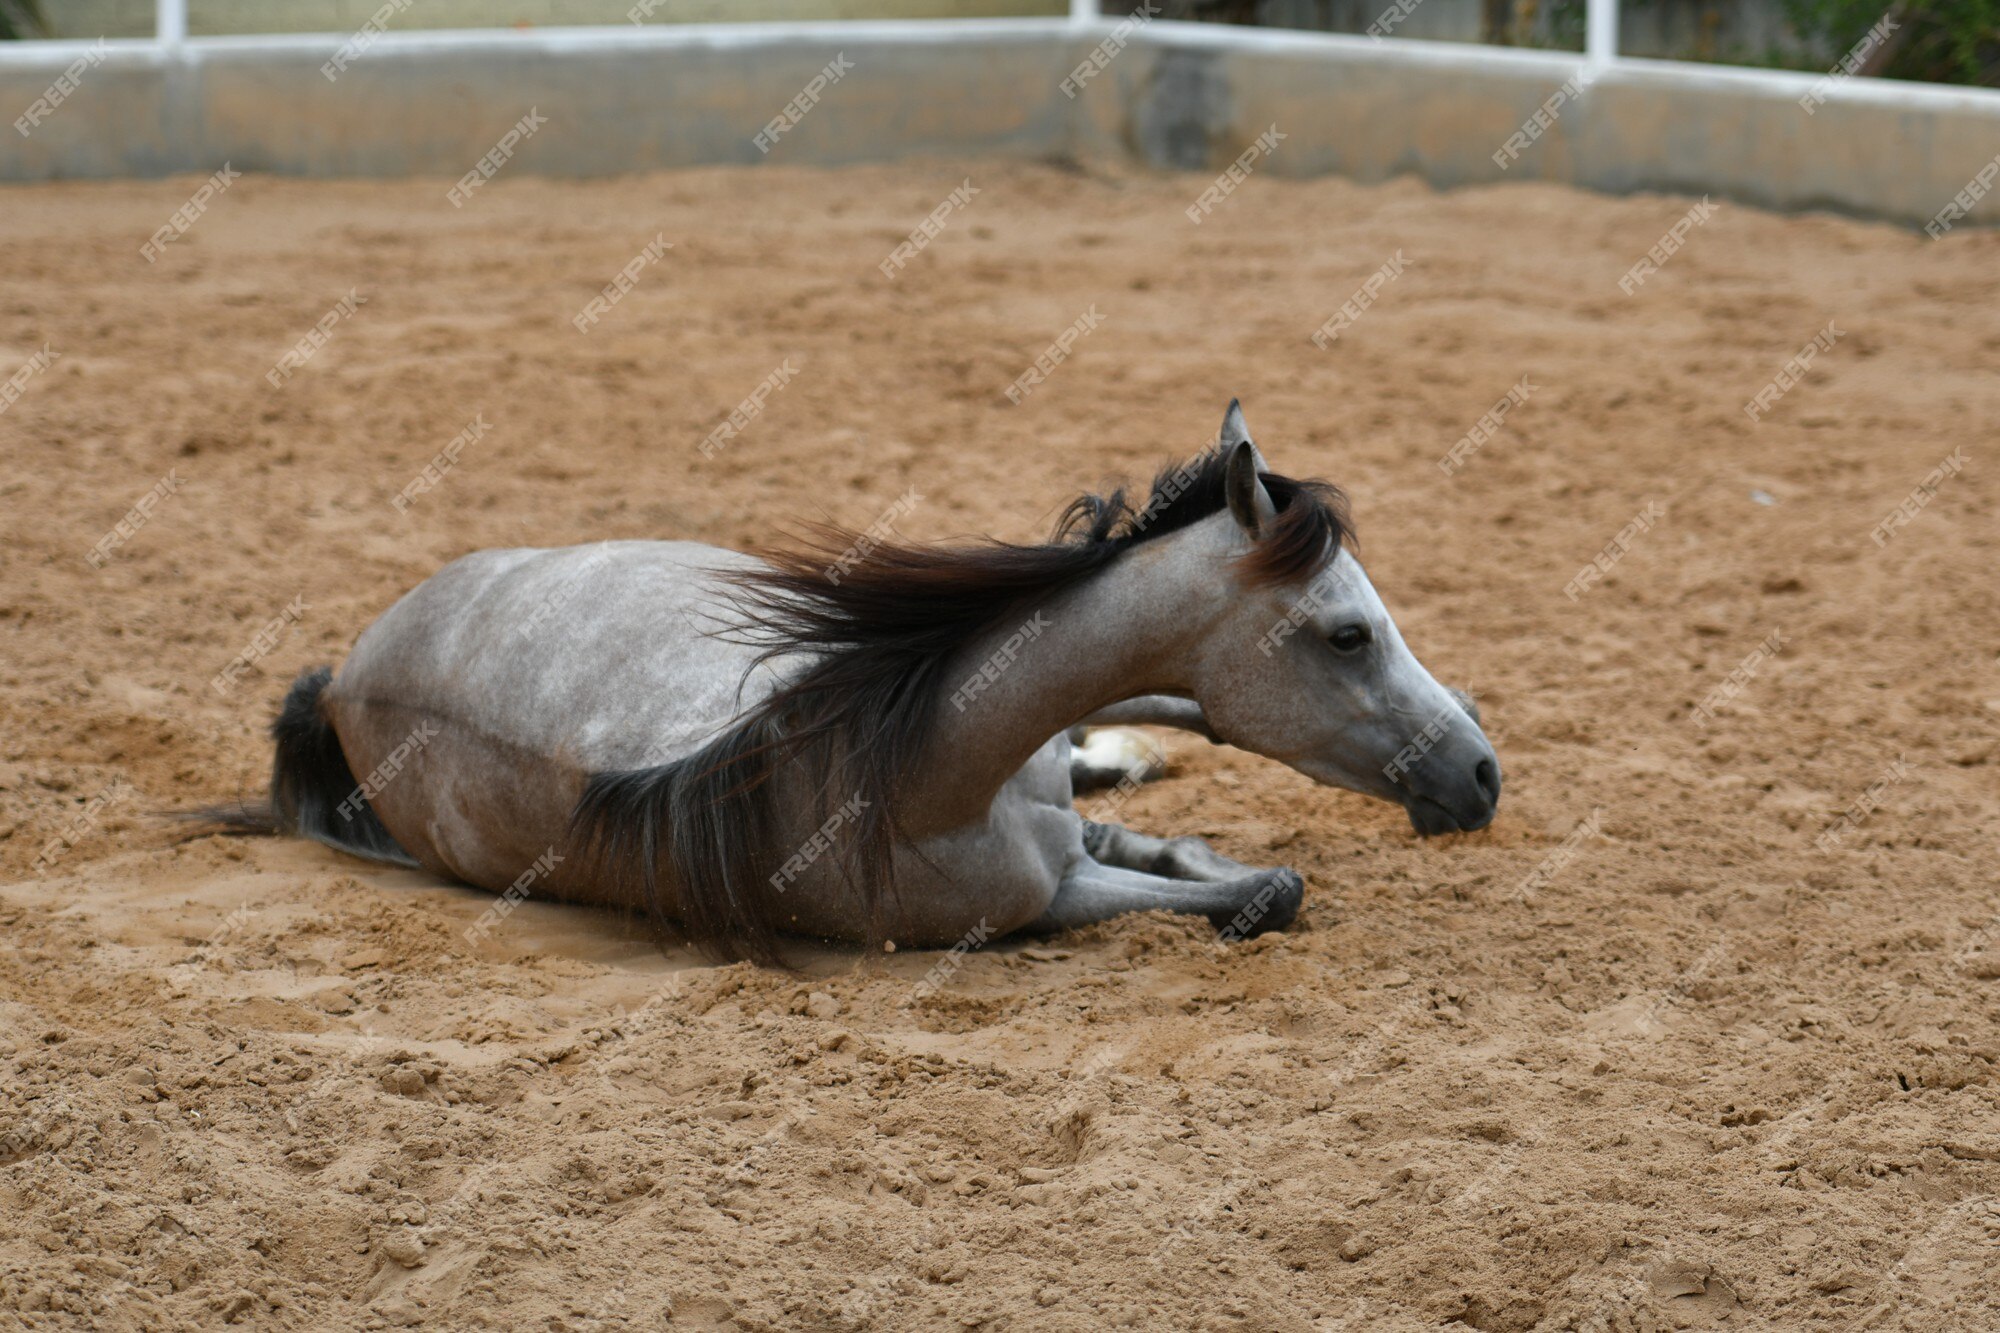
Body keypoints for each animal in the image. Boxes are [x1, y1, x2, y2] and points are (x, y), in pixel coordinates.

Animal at [219, 400, 1504, 960]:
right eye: (1347, 636)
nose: (1483, 777)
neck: (932, 766)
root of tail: (344, 677)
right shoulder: (1047, 899)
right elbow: (1260, 891)